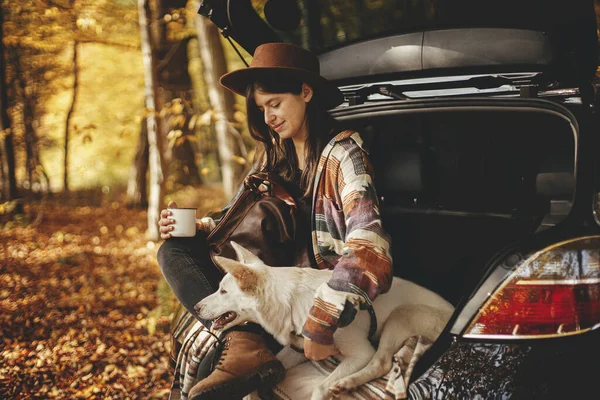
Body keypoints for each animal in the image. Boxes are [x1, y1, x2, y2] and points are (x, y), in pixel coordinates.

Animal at [195, 242, 452, 398]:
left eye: (223, 292)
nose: (196, 308)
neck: (293, 302)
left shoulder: (361, 353)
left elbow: (319, 388)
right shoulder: (298, 349)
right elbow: (275, 362)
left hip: (402, 315)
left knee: (382, 362)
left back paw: (348, 383)